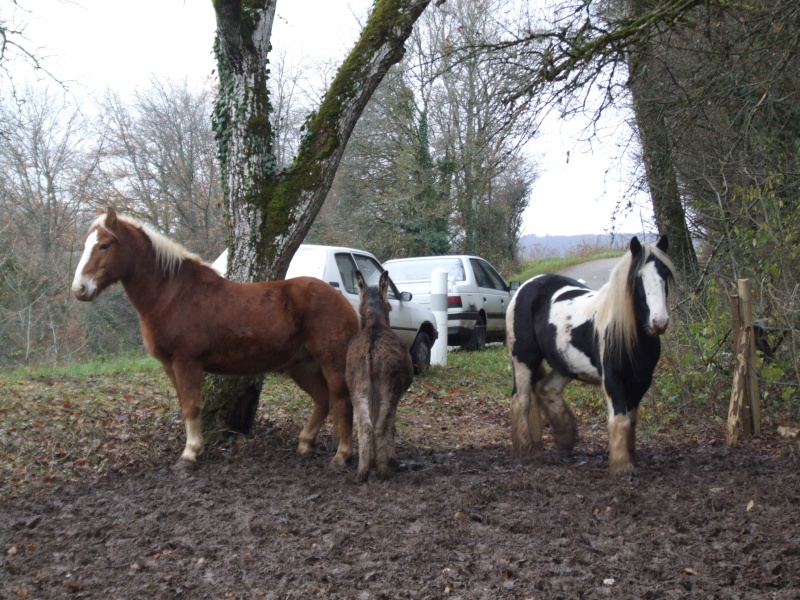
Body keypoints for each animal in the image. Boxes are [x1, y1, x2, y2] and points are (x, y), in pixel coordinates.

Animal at [72, 209, 360, 472]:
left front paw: (189, 455)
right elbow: (184, 406)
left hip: (332, 363)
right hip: (301, 364)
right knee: (322, 400)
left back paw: (341, 456)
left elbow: (191, 407)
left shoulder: (186, 362)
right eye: (84, 244)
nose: (79, 289)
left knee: (343, 402)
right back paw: (305, 444)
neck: (173, 294)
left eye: (104, 245)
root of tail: (343, 300)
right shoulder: (170, 366)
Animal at [506, 237, 676, 476]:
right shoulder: (614, 380)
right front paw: (621, 466)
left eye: (665, 274)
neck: (627, 332)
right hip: (523, 359)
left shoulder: (641, 381)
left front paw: (631, 458)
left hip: (565, 364)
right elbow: (620, 419)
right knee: (521, 400)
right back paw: (524, 451)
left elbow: (632, 420)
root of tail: (526, 286)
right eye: (637, 278)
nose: (659, 322)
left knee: (545, 389)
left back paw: (565, 439)